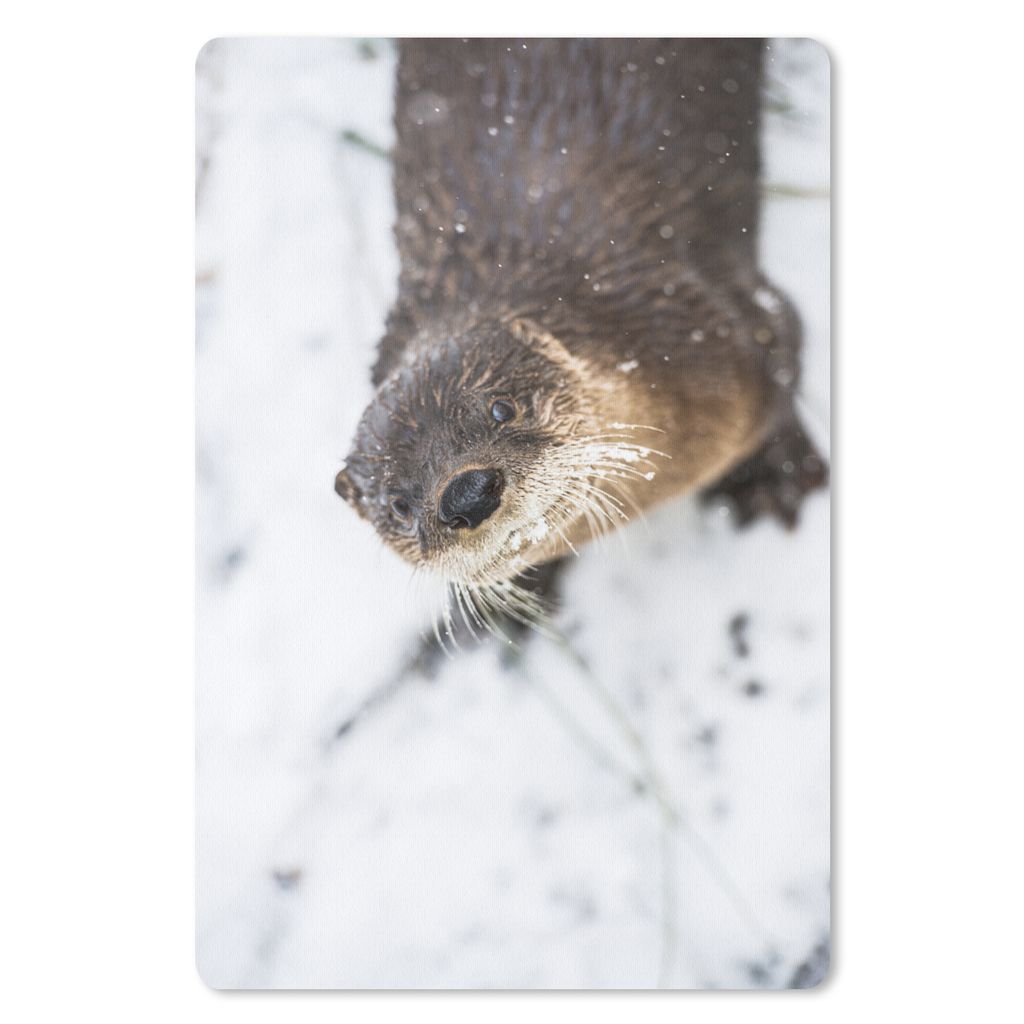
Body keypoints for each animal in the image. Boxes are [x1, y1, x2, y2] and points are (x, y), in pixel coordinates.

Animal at [335, 38, 826, 634]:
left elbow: (785, 364)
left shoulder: (734, 321)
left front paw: (777, 477)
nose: (467, 494)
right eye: (398, 505)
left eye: (502, 408)